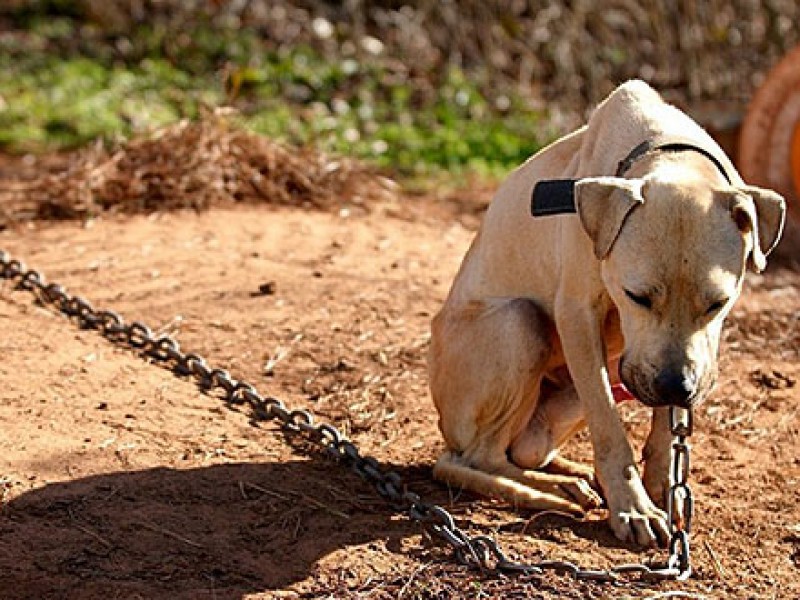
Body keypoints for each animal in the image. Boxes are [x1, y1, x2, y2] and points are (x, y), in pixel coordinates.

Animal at [428, 81, 784, 548]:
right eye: (636, 296)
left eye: (717, 303)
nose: (676, 386)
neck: (667, 148)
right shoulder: (578, 316)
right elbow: (610, 429)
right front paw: (634, 508)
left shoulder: (684, 357)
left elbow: (666, 428)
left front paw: (662, 487)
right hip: (519, 323)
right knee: (476, 457)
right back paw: (554, 491)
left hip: (590, 385)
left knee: (519, 450)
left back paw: (570, 475)